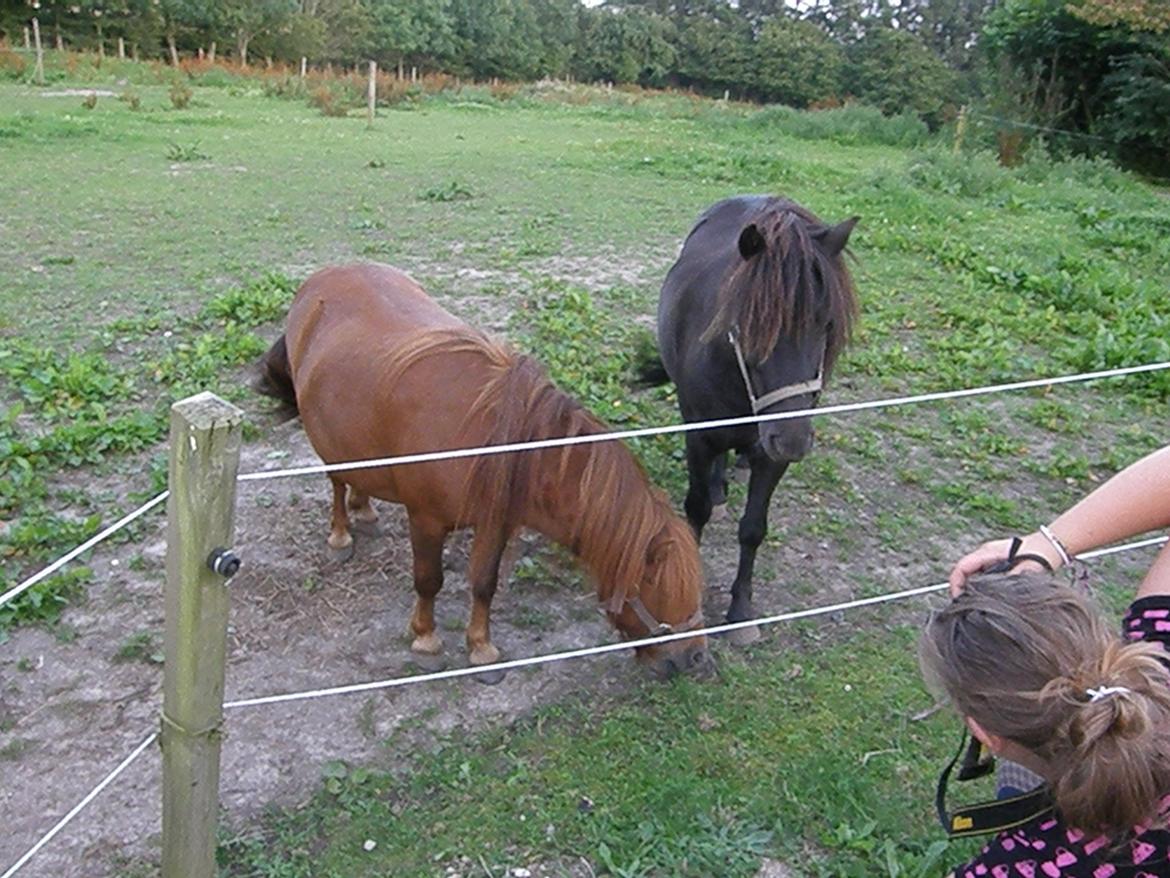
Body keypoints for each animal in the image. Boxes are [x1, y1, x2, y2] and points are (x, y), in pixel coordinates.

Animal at [258, 264, 711, 683]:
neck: (495, 441)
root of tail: (322, 278)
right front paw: (426, 640)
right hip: (325, 439)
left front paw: (481, 649)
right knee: (336, 482)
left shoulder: (497, 522)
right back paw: (341, 534)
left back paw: (364, 510)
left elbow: (484, 582)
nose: (694, 658)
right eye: (657, 588)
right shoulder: (426, 520)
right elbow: (429, 580)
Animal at [655, 195, 856, 641]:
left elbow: (753, 528)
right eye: (748, 327)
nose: (793, 439)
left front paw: (741, 611)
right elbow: (696, 510)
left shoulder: (772, 456)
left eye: (826, 324)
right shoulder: (699, 437)